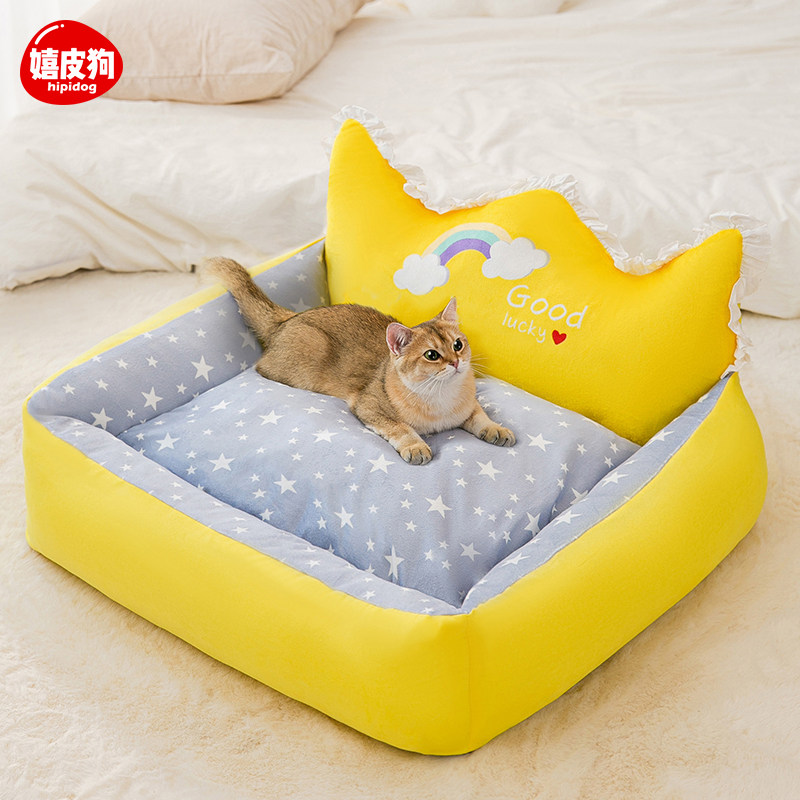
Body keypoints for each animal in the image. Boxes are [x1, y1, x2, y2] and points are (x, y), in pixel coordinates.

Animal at [204, 257, 515, 465]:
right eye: (432, 355)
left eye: (458, 345)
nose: (455, 362)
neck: (442, 400)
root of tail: (288, 318)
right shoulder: (369, 406)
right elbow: (400, 427)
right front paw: (415, 447)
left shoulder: (468, 406)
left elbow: (480, 416)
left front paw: (496, 429)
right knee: (261, 368)